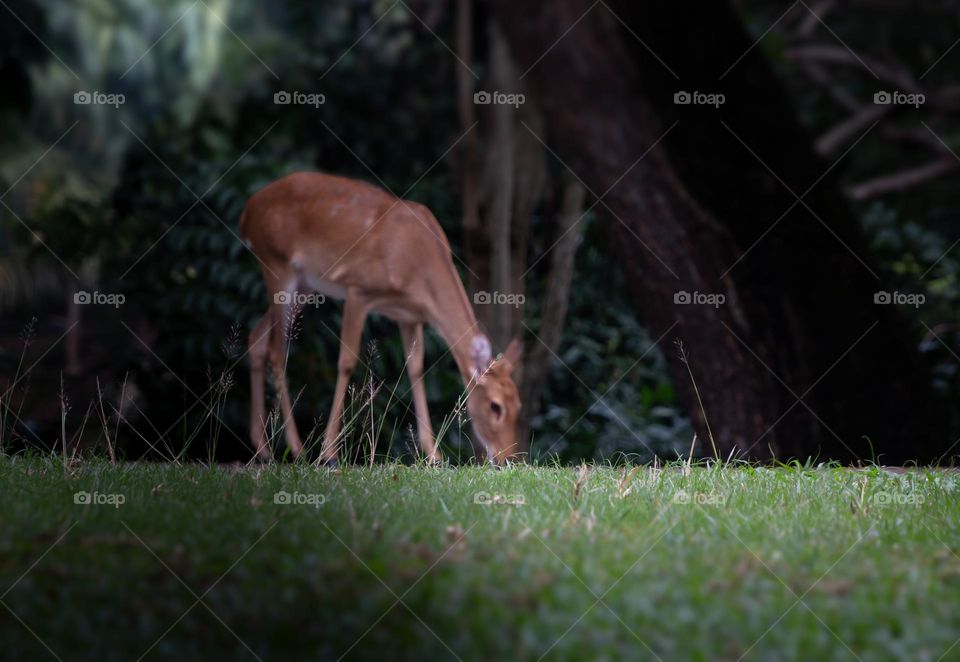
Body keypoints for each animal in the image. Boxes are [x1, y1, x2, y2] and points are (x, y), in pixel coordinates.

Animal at [240, 172, 524, 466]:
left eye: (518, 405)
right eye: (495, 405)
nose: (508, 458)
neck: (417, 262)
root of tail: (248, 211)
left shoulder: (410, 315)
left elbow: (416, 368)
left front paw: (433, 455)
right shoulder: (358, 290)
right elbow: (346, 362)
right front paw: (329, 454)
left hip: (306, 283)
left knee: (257, 337)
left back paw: (264, 450)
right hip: (277, 263)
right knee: (276, 349)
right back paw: (297, 449)